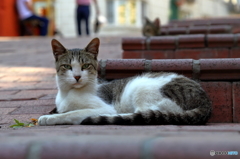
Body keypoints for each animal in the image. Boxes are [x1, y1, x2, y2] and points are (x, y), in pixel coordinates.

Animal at [38, 38, 212, 125]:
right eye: (67, 66)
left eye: (85, 66)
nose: (77, 76)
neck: (68, 93)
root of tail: (205, 101)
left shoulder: (104, 107)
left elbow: (72, 113)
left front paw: (49, 118)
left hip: (142, 88)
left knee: (142, 113)